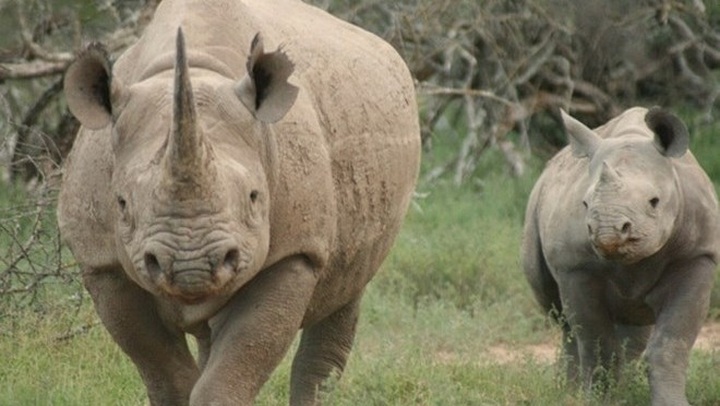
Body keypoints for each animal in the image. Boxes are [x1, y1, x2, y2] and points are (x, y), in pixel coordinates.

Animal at [58, 0, 420, 404]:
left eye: (254, 197)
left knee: (347, 292)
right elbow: (163, 370)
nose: (191, 266)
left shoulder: (295, 253)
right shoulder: (101, 261)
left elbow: (235, 365)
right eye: (121, 204)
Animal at [522, 107, 720, 405]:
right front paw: (598, 400)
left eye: (654, 202)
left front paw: (671, 402)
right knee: (561, 318)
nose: (608, 231)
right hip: (534, 210)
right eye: (584, 204)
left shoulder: (698, 257)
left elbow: (671, 343)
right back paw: (569, 392)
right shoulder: (576, 267)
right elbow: (596, 343)